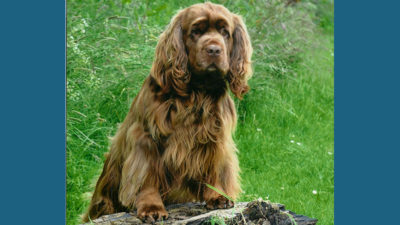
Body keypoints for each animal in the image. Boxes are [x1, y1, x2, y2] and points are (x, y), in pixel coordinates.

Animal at [83, 2, 253, 223]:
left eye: (225, 32)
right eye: (196, 31)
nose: (214, 50)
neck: (198, 91)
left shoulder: (215, 137)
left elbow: (213, 168)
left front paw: (217, 195)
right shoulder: (145, 138)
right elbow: (147, 178)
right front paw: (152, 208)